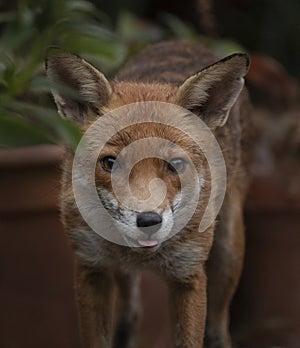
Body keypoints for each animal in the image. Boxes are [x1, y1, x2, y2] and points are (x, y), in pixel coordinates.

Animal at [45, 41, 253, 348]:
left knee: (218, 327)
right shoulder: (91, 267)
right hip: (123, 277)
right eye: (110, 163)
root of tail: (185, 42)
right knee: (130, 314)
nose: (148, 221)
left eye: (175, 165)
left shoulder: (188, 274)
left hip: (228, 252)